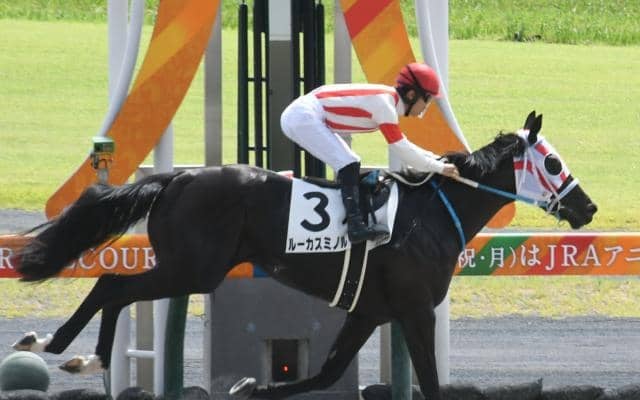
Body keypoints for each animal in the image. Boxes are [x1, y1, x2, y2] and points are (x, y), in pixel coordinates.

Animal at [13, 111, 596, 400]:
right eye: (553, 162)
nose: (587, 207)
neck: (432, 215)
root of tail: (178, 177)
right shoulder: (414, 311)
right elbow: (429, 383)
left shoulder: (369, 312)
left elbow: (320, 375)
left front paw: (250, 387)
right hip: (193, 269)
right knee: (112, 285)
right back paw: (60, 345)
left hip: (185, 268)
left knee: (113, 288)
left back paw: (80, 354)